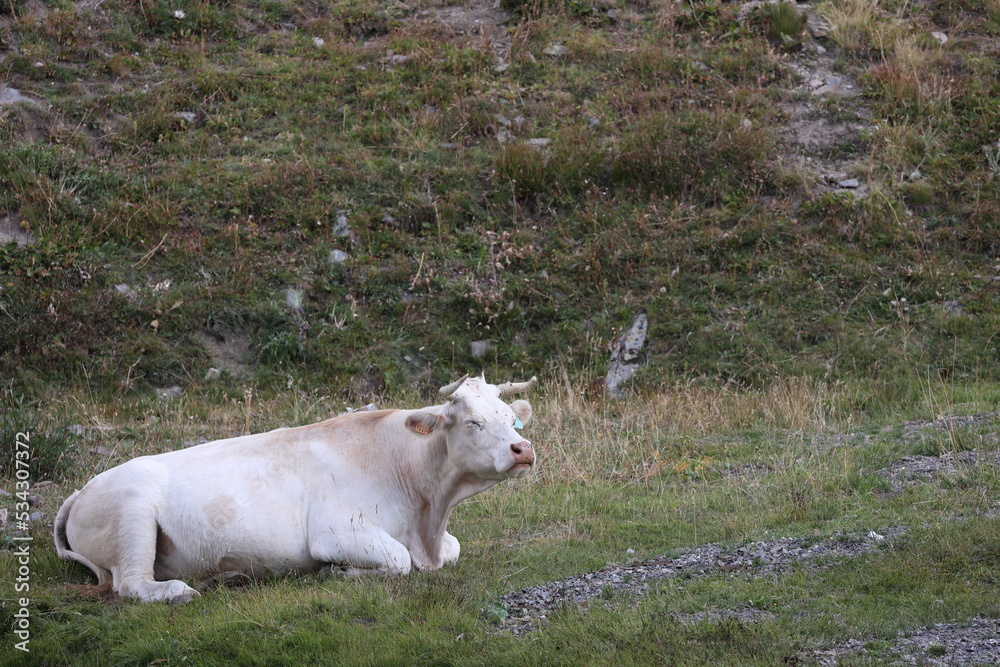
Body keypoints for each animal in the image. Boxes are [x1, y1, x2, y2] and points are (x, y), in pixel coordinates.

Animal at [53, 374, 536, 603]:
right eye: (472, 421)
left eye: (511, 419)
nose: (523, 448)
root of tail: (82, 490)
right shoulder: (336, 531)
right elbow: (398, 561)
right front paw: (335, 573)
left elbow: (454, 549)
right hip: (132, 512)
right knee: (131, 584)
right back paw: (178, 592)